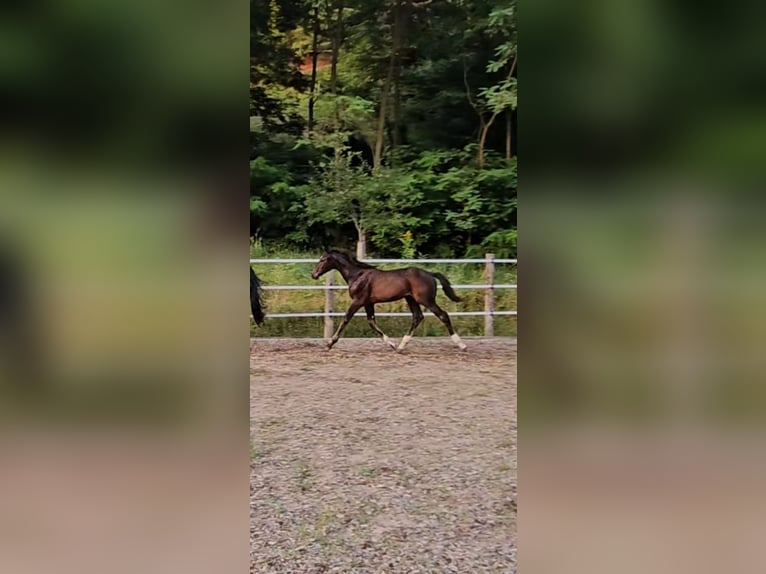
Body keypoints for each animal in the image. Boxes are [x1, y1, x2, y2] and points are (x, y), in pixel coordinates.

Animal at [312, 251, 468, 354]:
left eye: (323, 260)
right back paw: (401, 346)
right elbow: (371, 322)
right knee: (417, 317)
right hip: (411, 299)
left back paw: (462, 345)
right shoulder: (368, 303)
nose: (314, 275)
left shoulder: (358, 301)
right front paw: (392, 343)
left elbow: (346, 319)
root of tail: (430, 274)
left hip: (425, 300)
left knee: (443, 315)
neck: (357, 275)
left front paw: (329, 344)